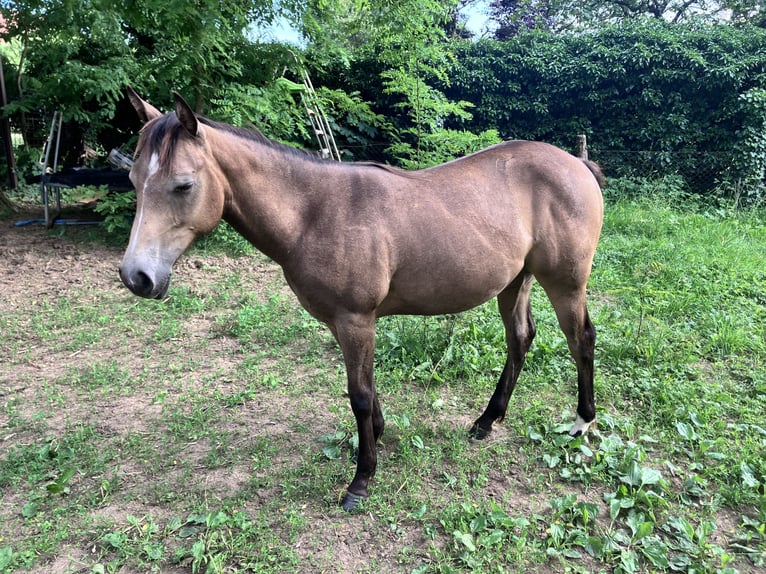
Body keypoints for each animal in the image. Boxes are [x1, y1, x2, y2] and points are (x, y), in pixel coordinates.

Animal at [119, 88, 605, 511]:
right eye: (134, 179)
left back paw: (582, 422)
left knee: (581, 338)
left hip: (564, 282)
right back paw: (487, 420)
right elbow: (367, 388)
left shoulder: (355, 319)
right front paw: (379, 435)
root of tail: (577, 163)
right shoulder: (344, 322)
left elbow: (359, 396)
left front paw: (362, 478)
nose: (136, 277)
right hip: (516, 280)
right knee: (520, 337)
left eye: (183, 185)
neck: (313, 213)